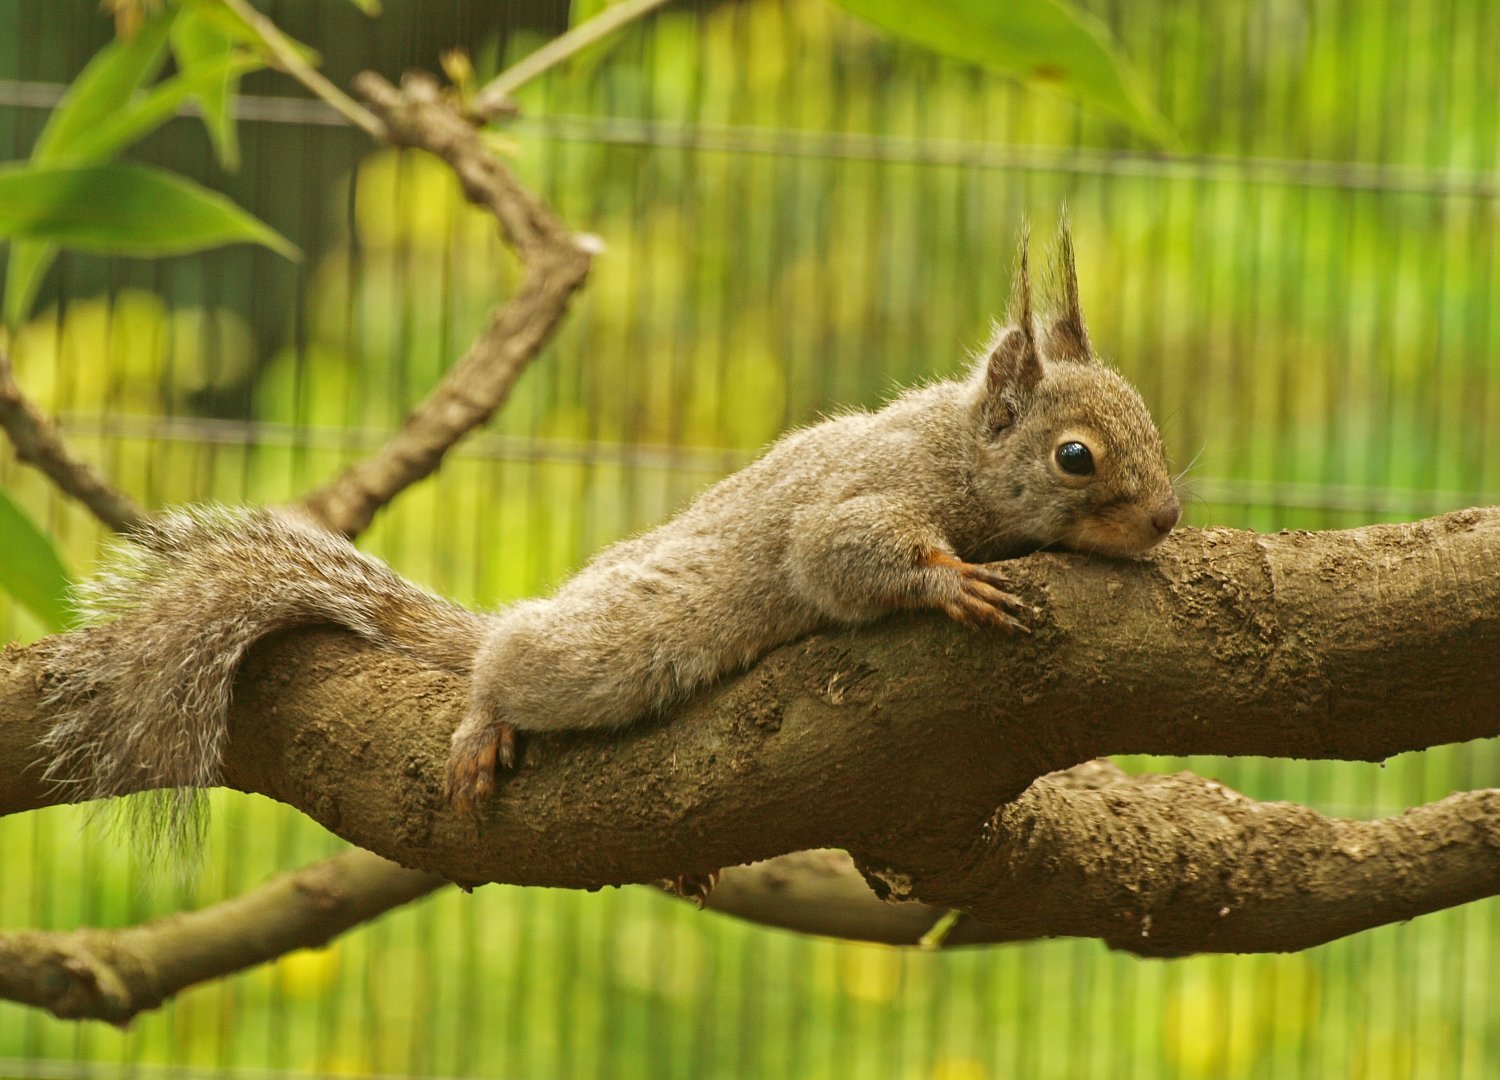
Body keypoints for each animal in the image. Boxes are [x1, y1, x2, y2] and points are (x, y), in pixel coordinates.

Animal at [34, 221, 1180, 857]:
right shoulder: (863, 497)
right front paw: (954, 582)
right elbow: (839, 556)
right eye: (1076, 458)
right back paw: (486, 712)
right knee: (516, 660)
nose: (1168, 517)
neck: (955, 448)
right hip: (615, 646)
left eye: (1153, 422)